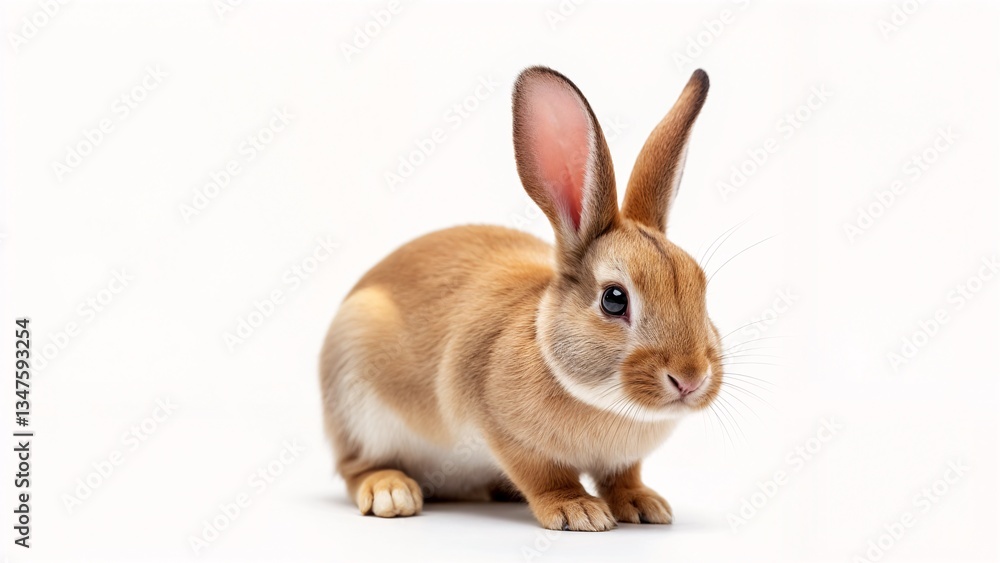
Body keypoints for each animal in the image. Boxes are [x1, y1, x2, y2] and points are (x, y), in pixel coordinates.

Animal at [320, 66, 721, 531]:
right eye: (614, 299)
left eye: (701, 287)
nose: (690, 378)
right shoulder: (504, 432)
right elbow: (543, 474)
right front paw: (578, 510)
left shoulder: (622, 461)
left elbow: (623, 476)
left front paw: (644, 505)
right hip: (355, 395)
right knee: (355, 466)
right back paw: (391, 492)